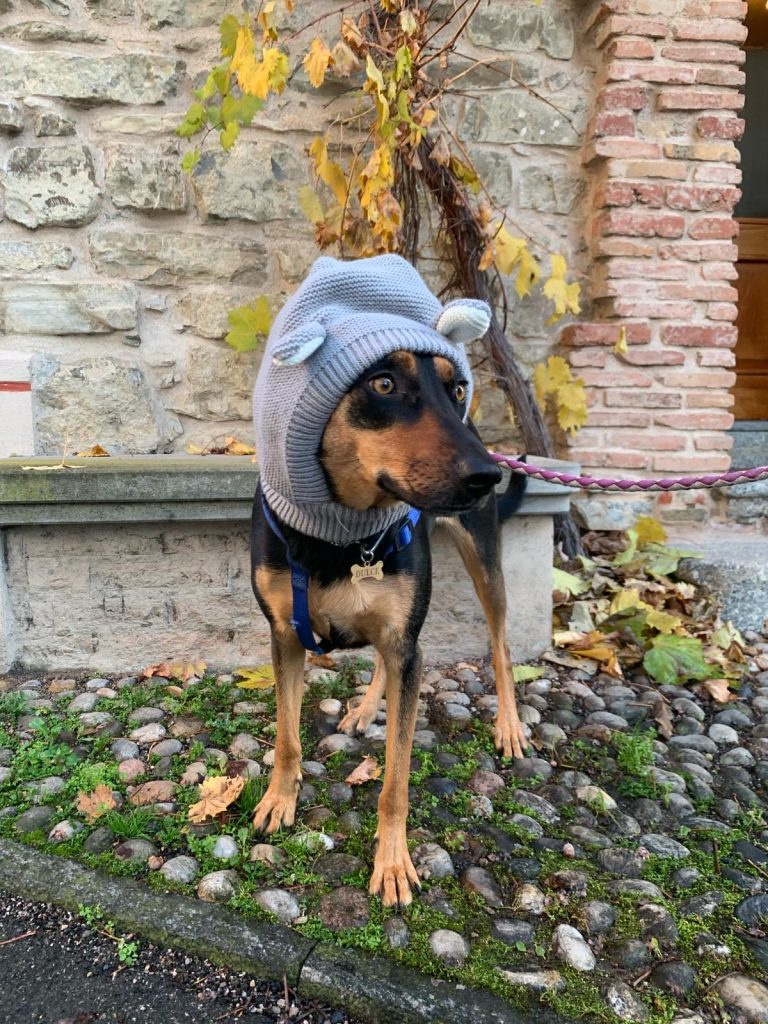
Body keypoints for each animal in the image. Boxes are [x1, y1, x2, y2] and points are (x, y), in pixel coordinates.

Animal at [249, 255, 528, 908]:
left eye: (457, 390)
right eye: (381, 385)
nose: (490, 476)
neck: (340, 534)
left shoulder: (409, 643)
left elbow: (396, 777)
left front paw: (394, 862)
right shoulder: (286, 634)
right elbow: (287, 737)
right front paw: (280, 799)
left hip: (482, 562)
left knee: (500, 645)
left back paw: (508, 726)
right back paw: (363, 711)